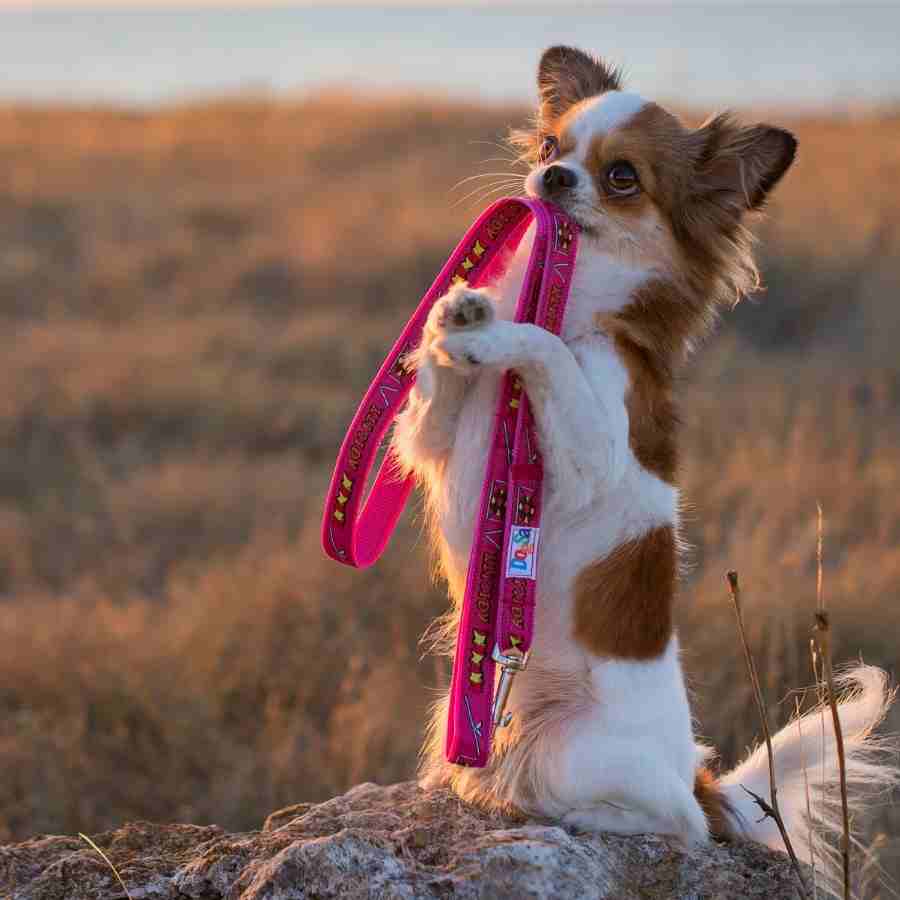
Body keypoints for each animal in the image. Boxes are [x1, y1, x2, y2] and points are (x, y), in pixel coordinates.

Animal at [390, 45, 896, 888]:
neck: (571, 298)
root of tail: (697, 778)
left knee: (676, 825)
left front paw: (505, 334)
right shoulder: (432, 439)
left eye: (622, 177)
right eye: (550, 149)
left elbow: (546, 349)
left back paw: (578, 815)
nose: (552, 179)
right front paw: (456, 318)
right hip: (468, 720)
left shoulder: (594, 448)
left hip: (579, 756)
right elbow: (437, 389)